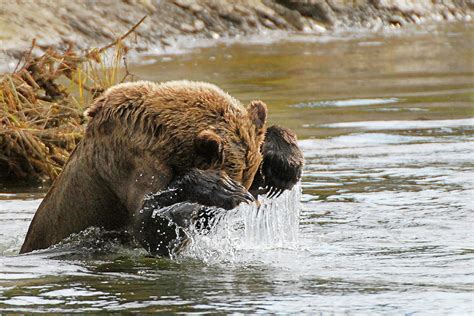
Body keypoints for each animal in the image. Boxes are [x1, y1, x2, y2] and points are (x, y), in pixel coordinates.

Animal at [19, 80, 304, 256]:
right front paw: (219, 188)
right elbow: (148, 224)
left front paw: (283, 164)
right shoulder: (129, 161)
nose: (206, 224)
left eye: (249, 177)